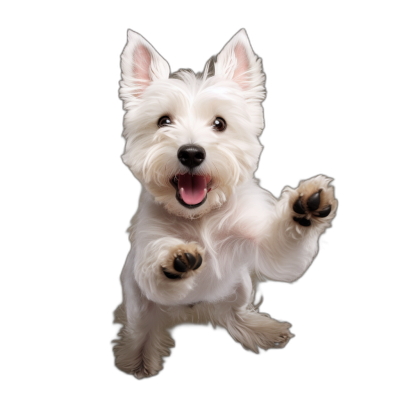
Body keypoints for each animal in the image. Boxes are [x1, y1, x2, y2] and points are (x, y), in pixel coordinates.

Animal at [112, 28, 338, 378]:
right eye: (163, 121)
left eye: (219, 123)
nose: (191, 153)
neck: (200, 216)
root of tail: (191, 314)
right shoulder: (146, 256)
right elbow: (157, 270)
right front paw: (176, 258)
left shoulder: (266, 249)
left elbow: (283, 257)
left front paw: (306, 206)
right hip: (137, 300)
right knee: (142, 328)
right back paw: (138, 359)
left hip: (240, 286)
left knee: (232, 312)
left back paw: (259, 329)